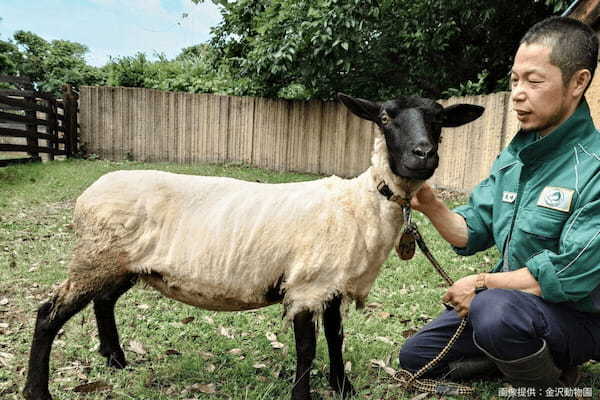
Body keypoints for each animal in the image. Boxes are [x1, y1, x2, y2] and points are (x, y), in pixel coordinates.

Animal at [22, 92, 488, 398]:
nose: (422, 155)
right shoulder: (307, 285)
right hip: (95, 255)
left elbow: (335, 338)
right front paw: (305, 395)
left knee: (102, 301)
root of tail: (90, 192)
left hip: (122, 263)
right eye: (386, 118)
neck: (363, 202)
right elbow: (307, 350)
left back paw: (115, 359)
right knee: (48, 315)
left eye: (440, 120)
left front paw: (344, 388)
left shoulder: (332, 283)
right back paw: (37, 390)